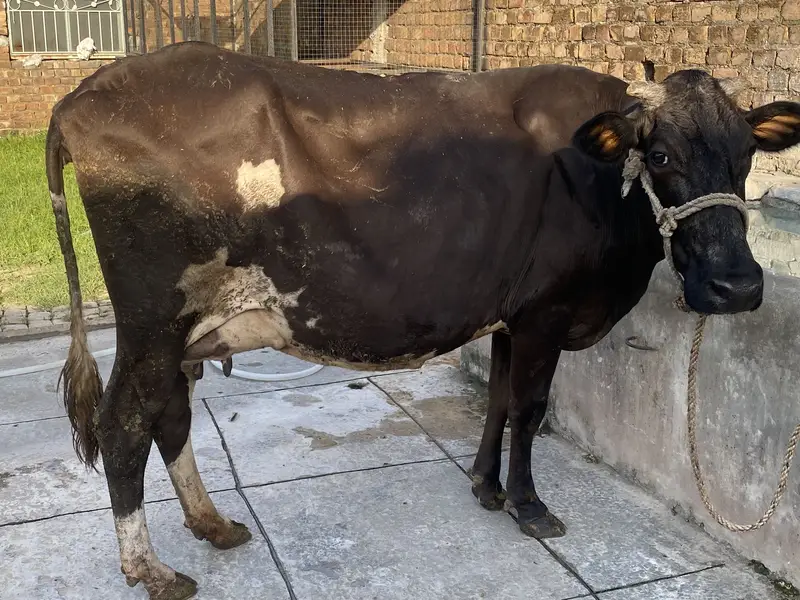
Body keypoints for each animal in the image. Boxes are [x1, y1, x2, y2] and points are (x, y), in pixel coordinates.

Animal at [45, 40, 800, 600]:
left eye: (747, 155)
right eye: (663, 155)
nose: (737, 285)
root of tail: (85, 93)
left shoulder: (510, 315)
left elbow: (497, 401)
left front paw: (486, 487)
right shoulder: (547, 312)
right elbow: (529, 409)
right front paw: (529, 506)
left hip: (174, 331)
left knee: (168, 415)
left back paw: (211, 523)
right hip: (153, 318)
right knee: (123, 424)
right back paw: (150, 569)